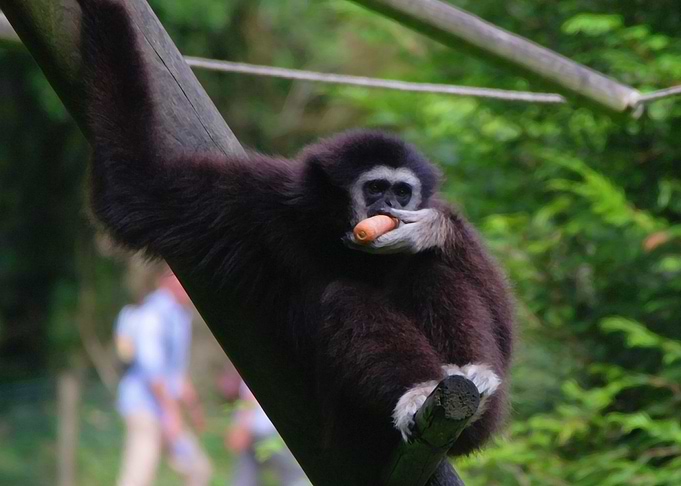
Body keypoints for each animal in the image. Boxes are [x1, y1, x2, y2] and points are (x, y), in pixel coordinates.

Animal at [78, 0, 513, 470]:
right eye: (375, 188)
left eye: (402, 192)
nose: (386, 208)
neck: (336, 237)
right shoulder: (259, 202)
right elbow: (136, 184)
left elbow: (505, 333)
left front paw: (431, 229)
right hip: (347, 430)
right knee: (345, 297)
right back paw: (417, 391)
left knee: (430, 269)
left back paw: (474, 380)